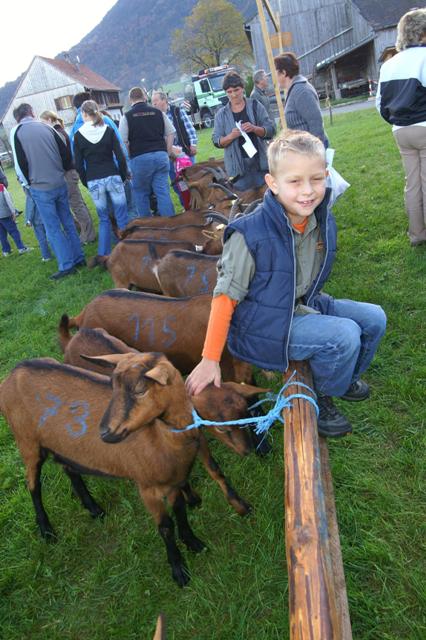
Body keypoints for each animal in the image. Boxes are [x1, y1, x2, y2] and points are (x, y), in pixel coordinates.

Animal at [0, 352, 206, 586]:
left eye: (140, 389)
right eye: (113, 386)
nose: (105, 433)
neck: (164, 438)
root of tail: (13, 373)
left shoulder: (174, 480)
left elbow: (180, 511)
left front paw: (193, 542)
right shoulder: (147, 488)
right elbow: (165, 527)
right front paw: (179, 570)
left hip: (62, 445)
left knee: (69, 469)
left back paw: (93, 508)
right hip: (27, 442)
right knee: (33, 485)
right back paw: (47, 531)